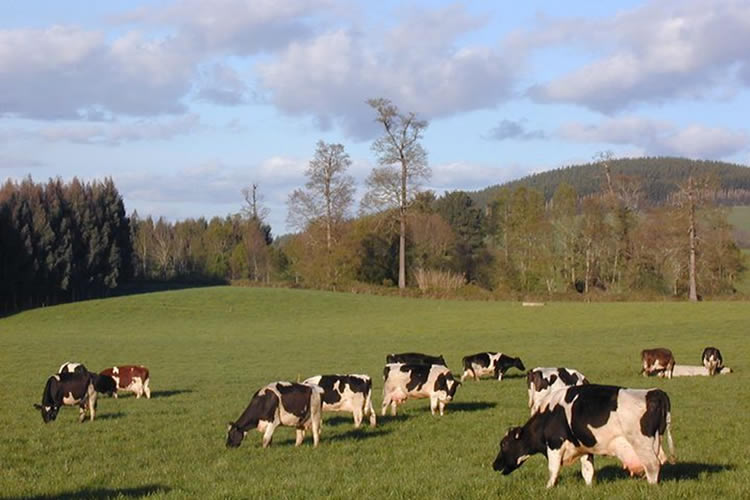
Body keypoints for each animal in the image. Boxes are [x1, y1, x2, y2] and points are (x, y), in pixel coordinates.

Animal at [494, 382, 676, 488]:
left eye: (504, 444)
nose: (494, 465)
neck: (549, 414)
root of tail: (654, 392)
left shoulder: (554, 444)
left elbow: (553, 469)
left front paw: (548, 487)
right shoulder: (584, 448)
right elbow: (587, 470)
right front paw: (589, 487)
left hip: (642, 445)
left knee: (653, 466)